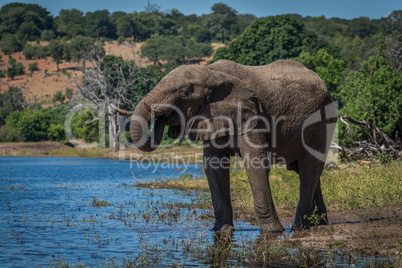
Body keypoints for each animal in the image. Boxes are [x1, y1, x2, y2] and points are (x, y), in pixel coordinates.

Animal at [111, 59, 338, 233]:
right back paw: (319, 223)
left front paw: (273, 232)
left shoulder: (253, 113)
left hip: (322, 120)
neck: (210, 72)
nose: (163, 115)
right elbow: (214, 166)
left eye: (184, 92)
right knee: (303, 170)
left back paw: (299, 227)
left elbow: (255, 163)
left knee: (309, 167)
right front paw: (221, 231)